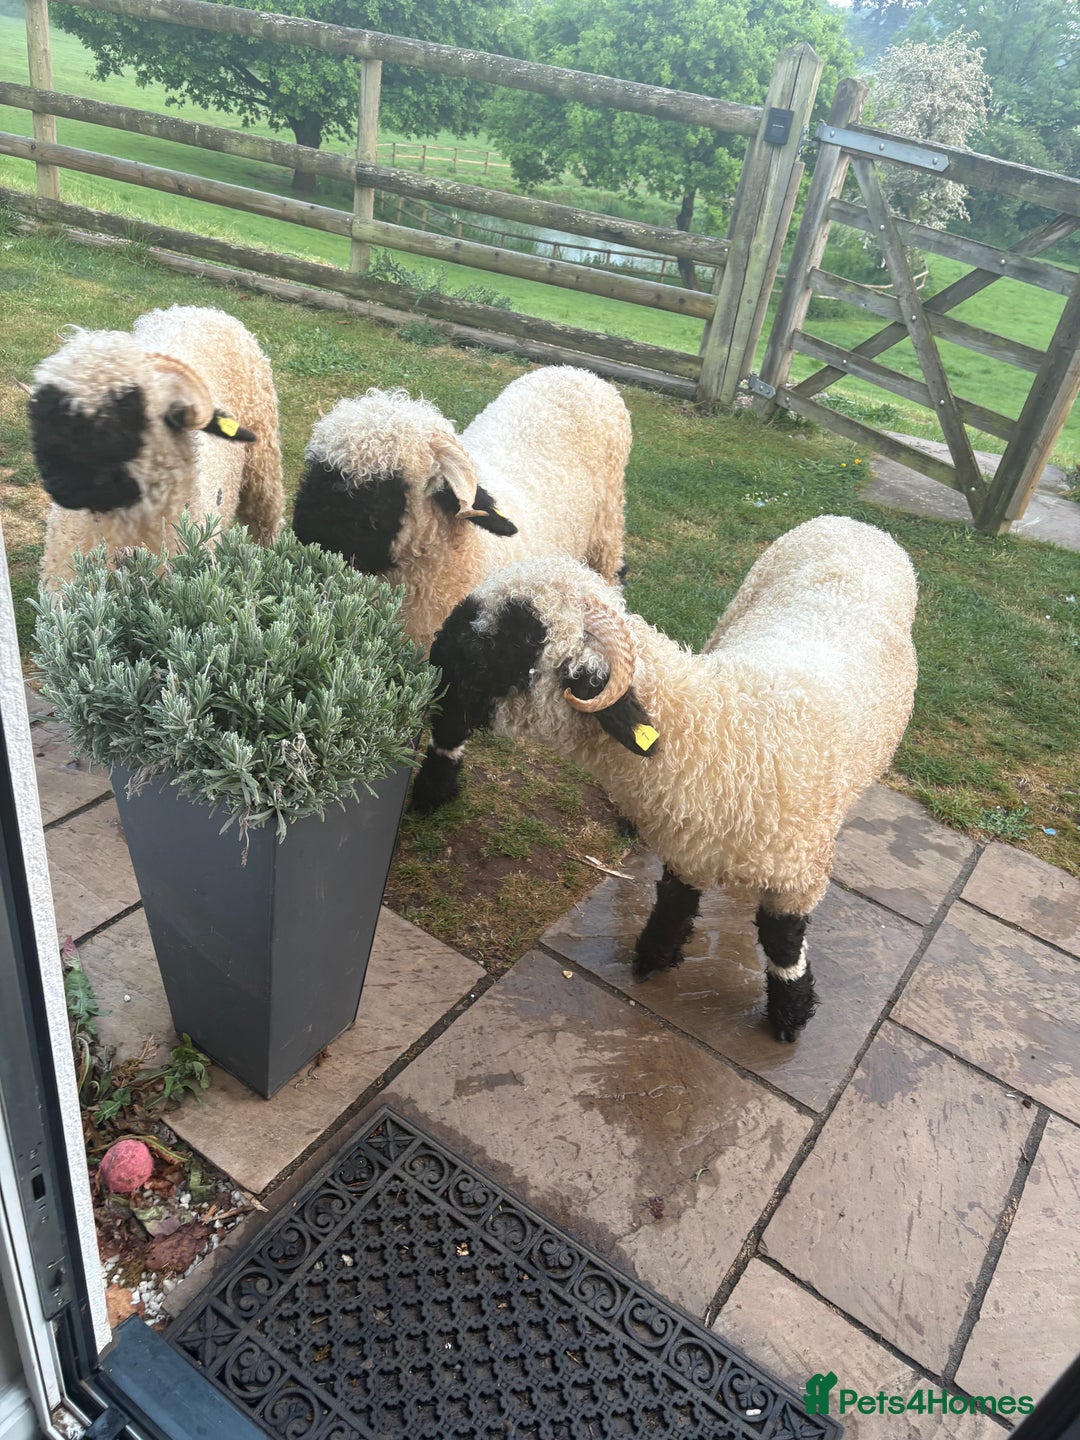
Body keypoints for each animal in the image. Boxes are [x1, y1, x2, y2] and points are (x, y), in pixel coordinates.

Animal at [411, 515, 918, 1042]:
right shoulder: (688, 848)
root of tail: (851, 523)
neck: (725, 739)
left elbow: (782, 944)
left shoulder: (800, 876)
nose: (432, 662)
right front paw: (653, 958)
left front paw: (790, 1012)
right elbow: (674, 903)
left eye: (516, 636)